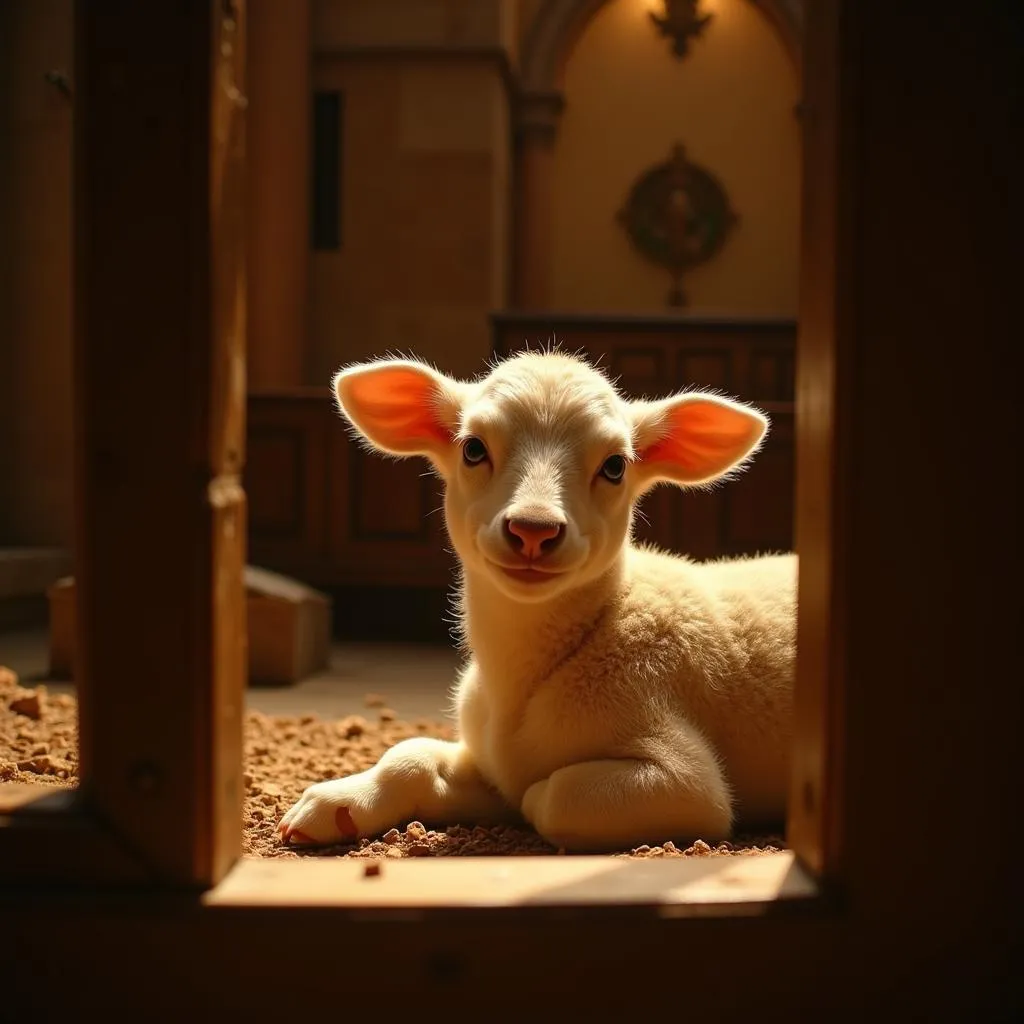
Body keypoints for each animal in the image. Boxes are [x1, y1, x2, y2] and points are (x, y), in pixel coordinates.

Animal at [276, 348, 794, 851]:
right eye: (473, 448)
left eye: (615, 466)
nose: (533, 529)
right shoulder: (488, 756)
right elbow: (411, 755)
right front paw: (336, 805)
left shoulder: (684, 779)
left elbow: (550, 795)